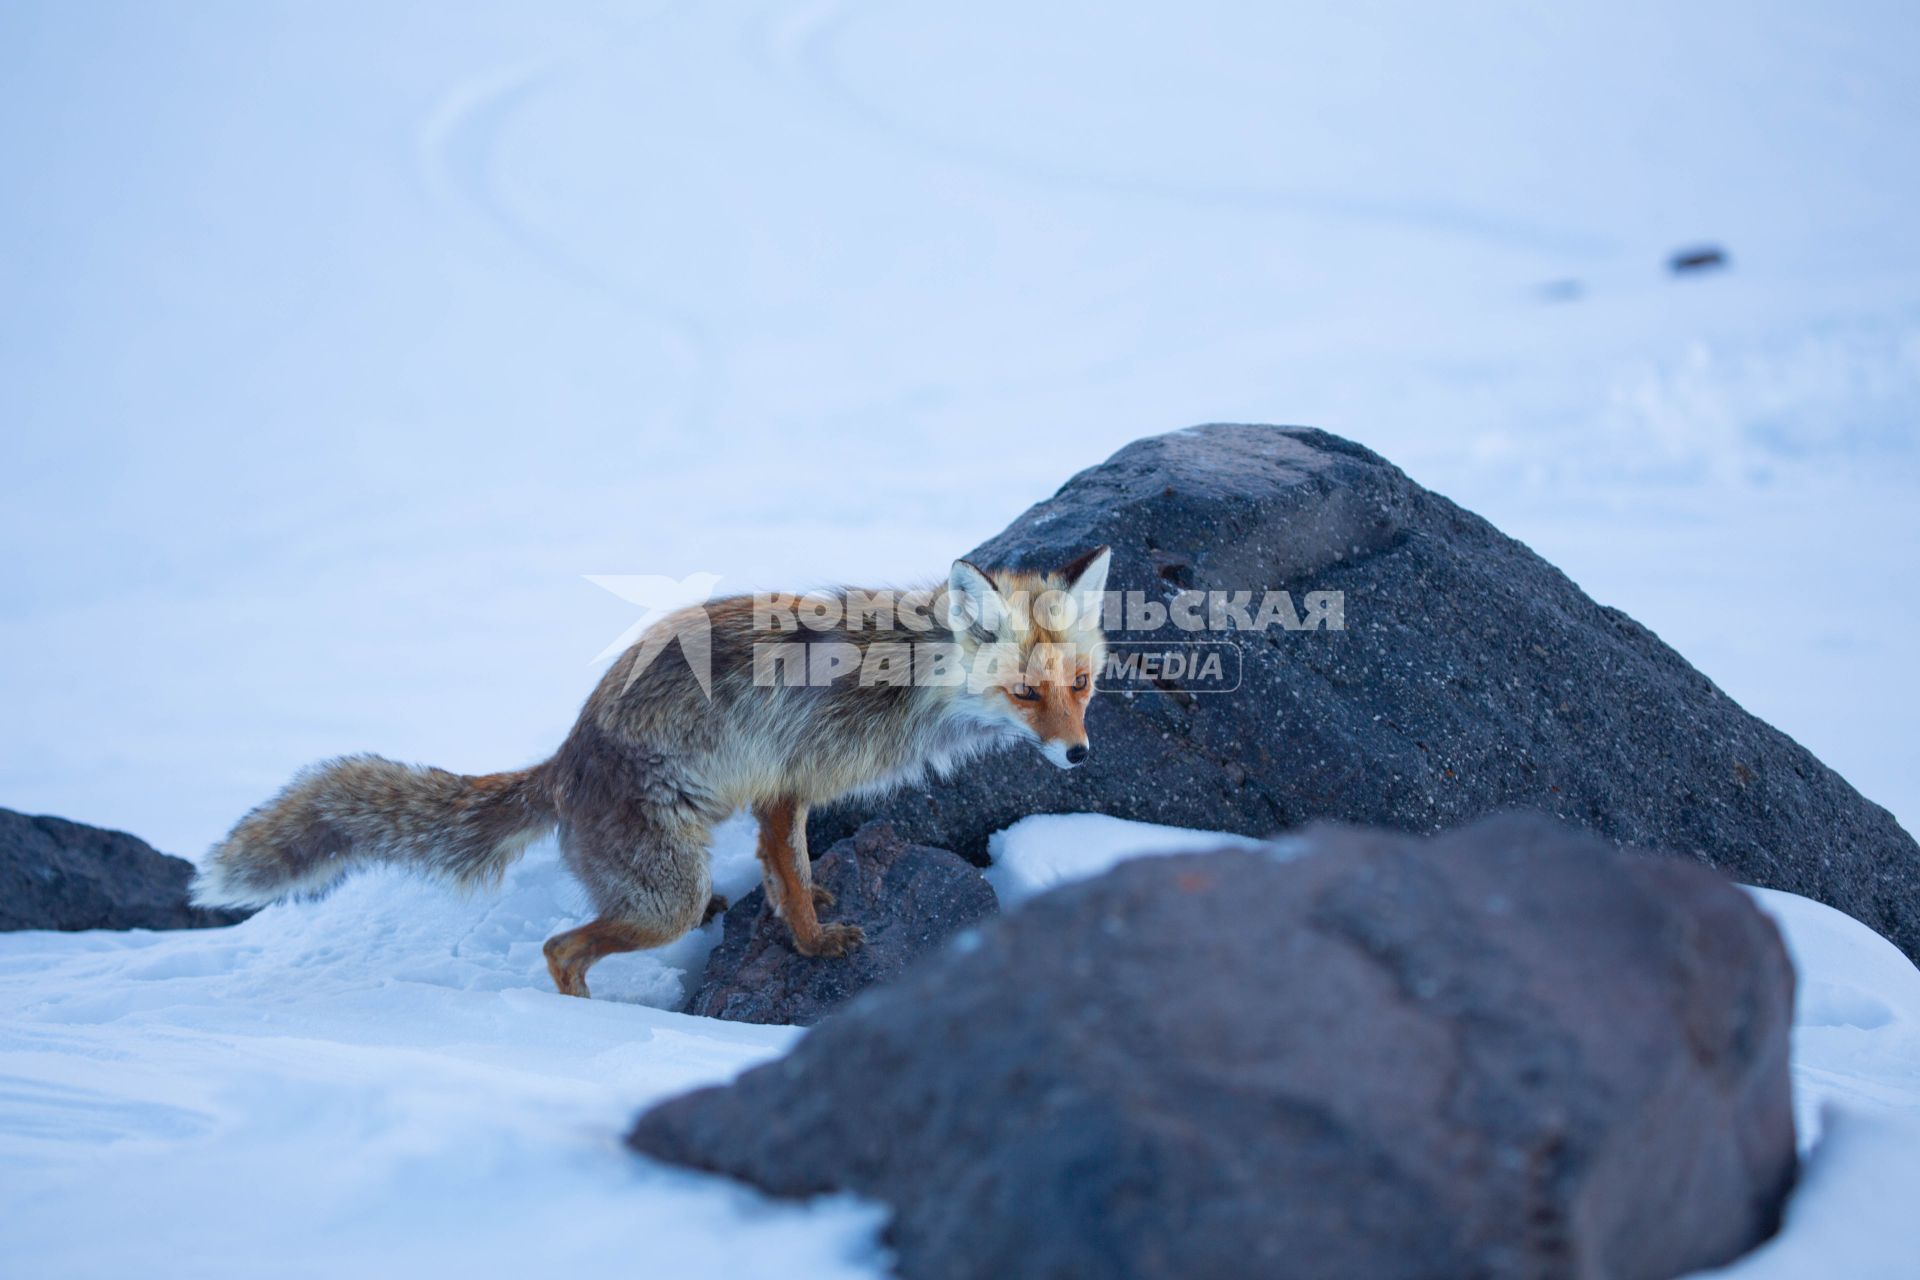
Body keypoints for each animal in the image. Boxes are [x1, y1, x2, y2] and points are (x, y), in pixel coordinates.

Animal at [192, 545, 1113, 997]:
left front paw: (813, 908)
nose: (1079, 754)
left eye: (1081, 685)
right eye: (1025, 693)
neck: (904, 678)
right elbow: (789, 873)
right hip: (663, 901)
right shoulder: (784, 782)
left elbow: (792, 868)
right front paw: (815, 945)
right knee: (561, 950)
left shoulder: (786, 793)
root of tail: (564, 760)